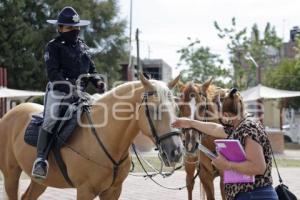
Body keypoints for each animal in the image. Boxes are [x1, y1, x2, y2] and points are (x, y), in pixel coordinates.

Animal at [0, 74, 183, 200]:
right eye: (153, 110)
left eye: (176, 108)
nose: (176, 152)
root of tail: (10, 114)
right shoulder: (85, 191)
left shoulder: (113, 191)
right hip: (11, 175)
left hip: (40, 181)